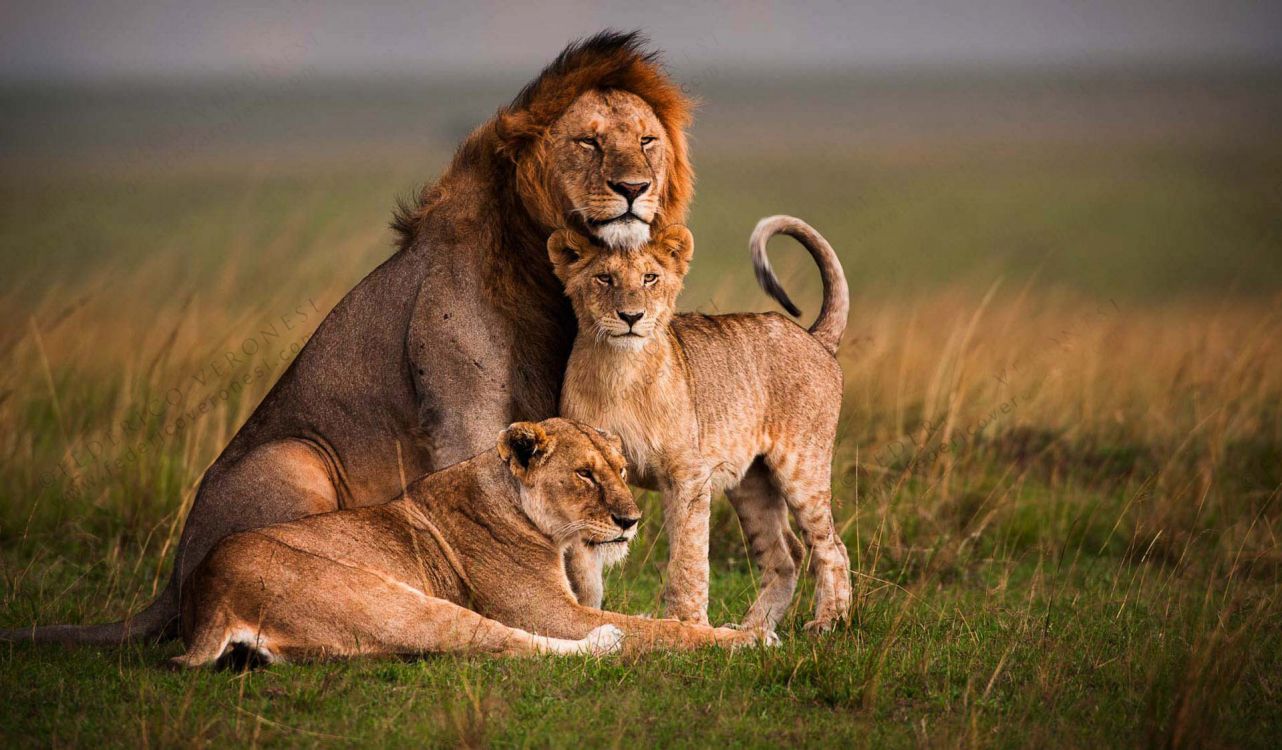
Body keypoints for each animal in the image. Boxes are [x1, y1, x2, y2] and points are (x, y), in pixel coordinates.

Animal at [2, 32, 702, 643]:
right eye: (587, 142)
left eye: (646, 141)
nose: (634, 189)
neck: (542, 267)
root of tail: (172, 582)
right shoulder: (464, 411)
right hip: (294, 458)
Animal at [173, 415, 758, 666]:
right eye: (585, 475)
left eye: (619, 469)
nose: (631, 520)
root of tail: (208, 595)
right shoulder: (549, 612)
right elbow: (658, 629)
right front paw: (744, 638)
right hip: (389, 600)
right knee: (504, 642)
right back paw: (606, 643)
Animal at [551, 216, 851, 630]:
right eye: (604, 278)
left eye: (649, 278)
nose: (631, 317)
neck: (620, 370)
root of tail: (814, 337)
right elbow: (583, 567)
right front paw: (585, 615)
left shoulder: (688, 474)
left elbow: (688, 557)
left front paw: (687, 623)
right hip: (751, 483)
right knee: (785, 555)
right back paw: (753, 629)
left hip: (803, 467)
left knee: (831, 546)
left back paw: (828, 622)